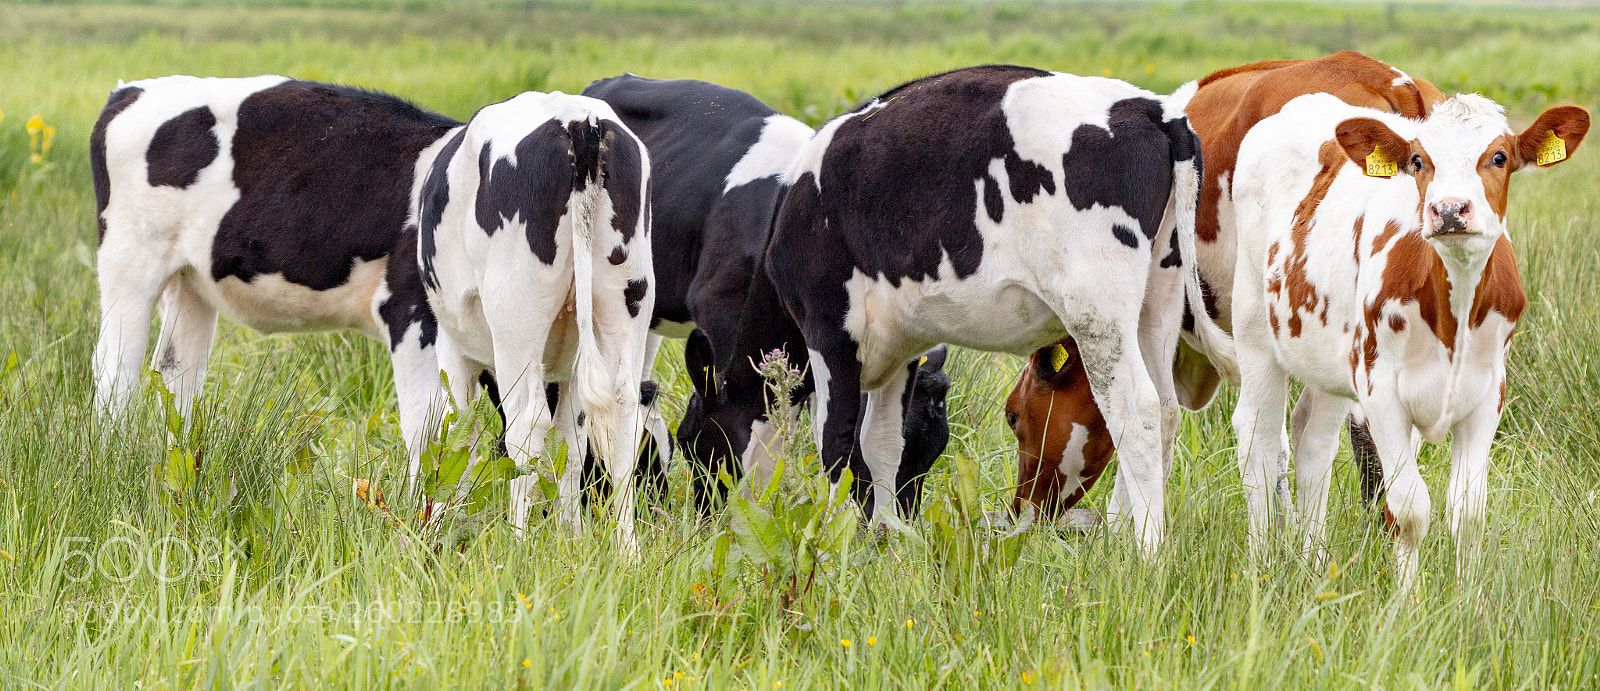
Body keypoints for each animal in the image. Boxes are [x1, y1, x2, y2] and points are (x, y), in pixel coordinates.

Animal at [417, 91, 656, 550]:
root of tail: (581, 121)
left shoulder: (451, 346)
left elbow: (459, 435)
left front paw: (437, 527)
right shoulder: (568, 367)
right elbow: (571, 444)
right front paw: (573, 538)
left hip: (516, 316)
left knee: (526, 423)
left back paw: (517, 542)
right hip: (627, 303)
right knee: (621, 416)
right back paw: (627, 550)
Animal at [679, 65, 1229, 551]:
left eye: (695, 444)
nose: (705, 528)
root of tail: (1155, 111)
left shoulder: (827, 330)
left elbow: (835, 443)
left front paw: (829, 538)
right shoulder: (901, 347)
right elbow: (882, 445)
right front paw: (888, 539)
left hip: (1098, 310)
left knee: (1137, 410)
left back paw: (1147, 550)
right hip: (1156, 304)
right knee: (1166, 410)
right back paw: (1121, 536)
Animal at [1222, 91, 1587, 587]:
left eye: (1499, 157)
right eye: (1418, 161)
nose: (1449, 210)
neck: (1454, 314)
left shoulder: (1488, 392)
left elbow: (1468, 513)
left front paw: (1467, 598)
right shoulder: (1380, 391)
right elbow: (1409, 510)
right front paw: (1407, 600)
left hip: (1330, 358)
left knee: (1312, 439)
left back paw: (1314, 562)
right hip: (1255, 330)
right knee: (1257, 441)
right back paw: (1262, 566)